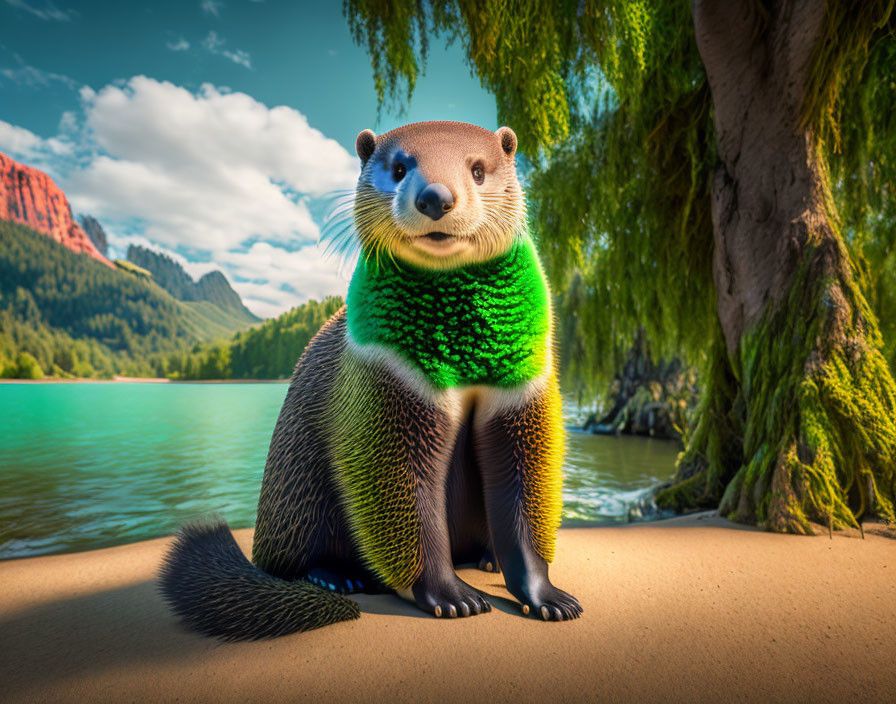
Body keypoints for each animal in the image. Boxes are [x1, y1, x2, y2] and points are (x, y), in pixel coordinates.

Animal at [159, 121, 580, 640]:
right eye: (398, 168)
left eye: (479, 169)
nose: (436, 197)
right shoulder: (385, 391)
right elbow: (400, 496)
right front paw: (450, 595)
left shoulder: (523, 390)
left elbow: (524, 490)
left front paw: (546, 595)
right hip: (295, 488)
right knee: (292, 557)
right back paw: (336, 576)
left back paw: (486, 559)